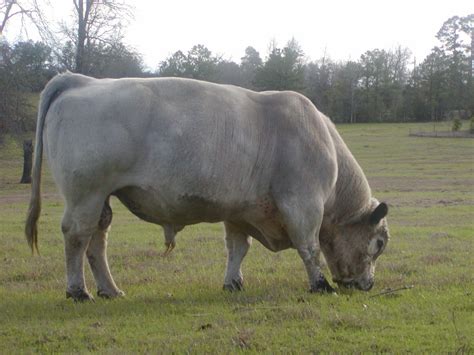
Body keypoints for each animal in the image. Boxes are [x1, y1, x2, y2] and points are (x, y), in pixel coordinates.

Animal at [25, 73, 388, 304]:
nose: (368, 285)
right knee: (77, 237)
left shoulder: (241, 211)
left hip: (100, 198)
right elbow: (309, 247)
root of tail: (83, 80)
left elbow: (238, 249)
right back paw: (78, 291)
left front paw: (233, 283)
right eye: (380, 243)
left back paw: (109, 290)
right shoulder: (303, 204)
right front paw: (320, 285)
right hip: (85, 194)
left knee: (97, 241)